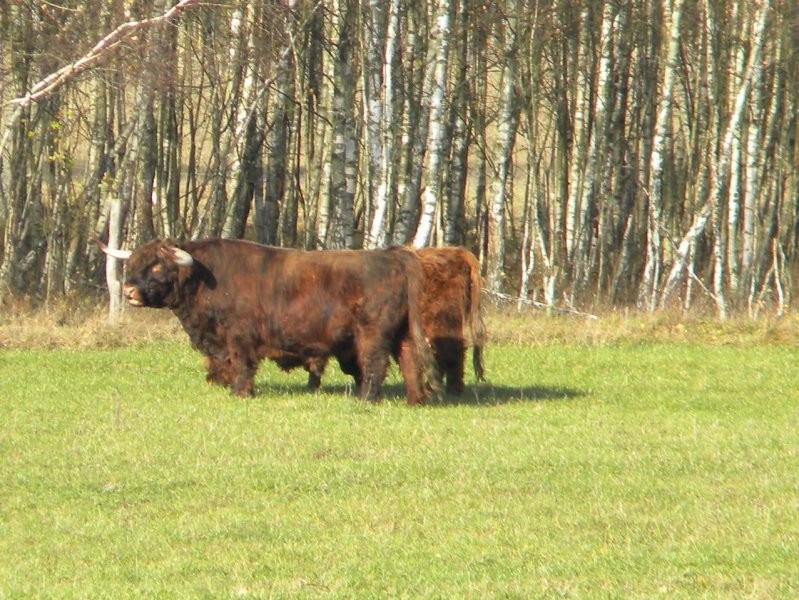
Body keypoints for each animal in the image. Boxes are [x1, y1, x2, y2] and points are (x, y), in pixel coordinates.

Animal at [98, 237, 440, 405]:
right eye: (134, 263)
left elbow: (242, 364)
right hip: (402, 334)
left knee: (374, 365)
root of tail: (393, 255)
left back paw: (365, 400)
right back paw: (415, 400)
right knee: (410, 362)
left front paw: (240, 392)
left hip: (373, 334)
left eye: (157, 267)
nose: (128, 291)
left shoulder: (239, 336)